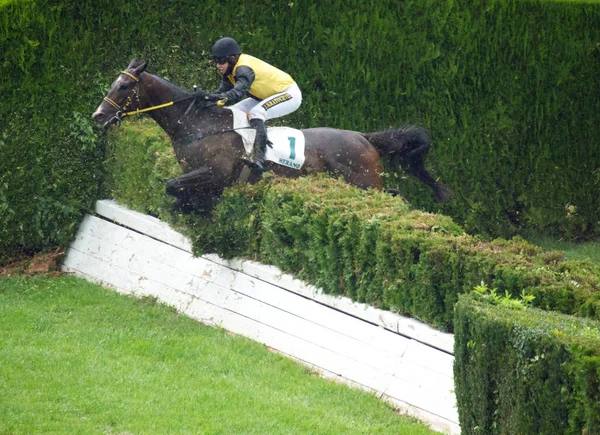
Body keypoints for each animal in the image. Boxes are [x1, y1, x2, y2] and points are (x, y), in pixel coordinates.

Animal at [92, 59, 450, 213]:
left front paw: (196, 206)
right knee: (392, 193)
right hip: (365, 184)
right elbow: (173, 187)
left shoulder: (216, 173)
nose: (98, 117)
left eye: (122, 87)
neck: (198, 124)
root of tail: (363, 137)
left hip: (363, 183)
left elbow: (173, 186)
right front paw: (190, 205)